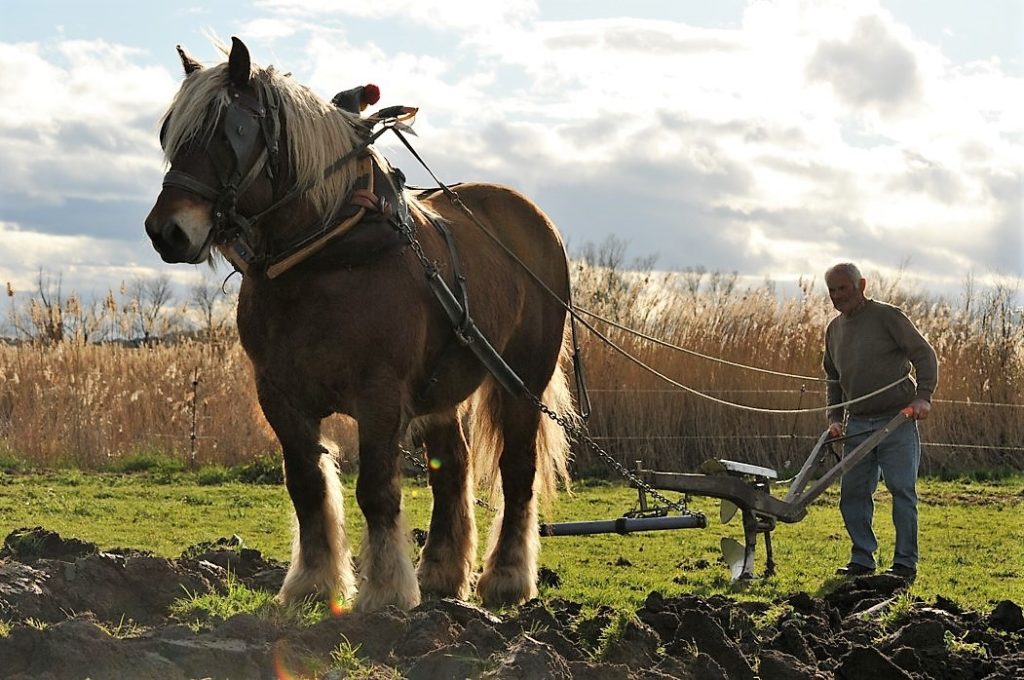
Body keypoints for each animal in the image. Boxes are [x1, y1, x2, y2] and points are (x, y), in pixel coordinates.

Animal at [144, 37, 577, 610]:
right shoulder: (278, 395)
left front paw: (387, 591)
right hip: (444, 387)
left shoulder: (380, 394)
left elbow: (376, 489)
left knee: (518, 468)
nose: (165, 231)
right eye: (170, 133)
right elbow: (307, 487)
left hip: (522, 380)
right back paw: (442, 572)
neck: (324, 257)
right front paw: (313, 584)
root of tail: (535, 219)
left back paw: (506, 577)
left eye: (227, 131)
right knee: (452, 467)